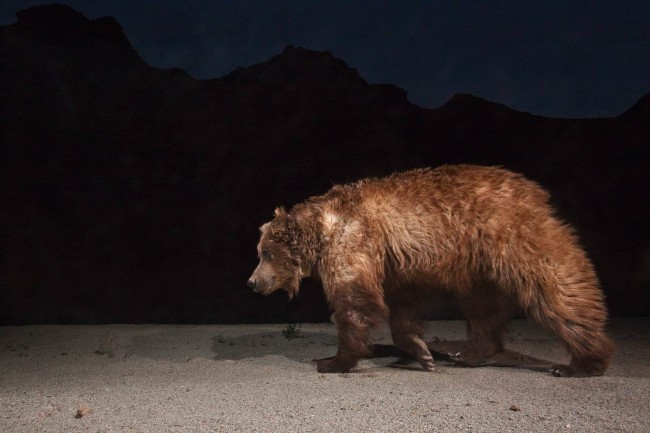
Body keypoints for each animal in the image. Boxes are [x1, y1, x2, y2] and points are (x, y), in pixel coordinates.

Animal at [247, 165, 615, 376]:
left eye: (265, 253)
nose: (252, 282)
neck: (321, 229)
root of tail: (534, 192)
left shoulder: (353, 240)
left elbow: (355, 302)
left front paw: (332, 361)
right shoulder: (397, 263)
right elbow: (403, 308)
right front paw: (421, 352)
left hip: (511, 235)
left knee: (557, 289)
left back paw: (581, 361)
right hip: (482, 267)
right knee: (483, 308)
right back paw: (468, 351)